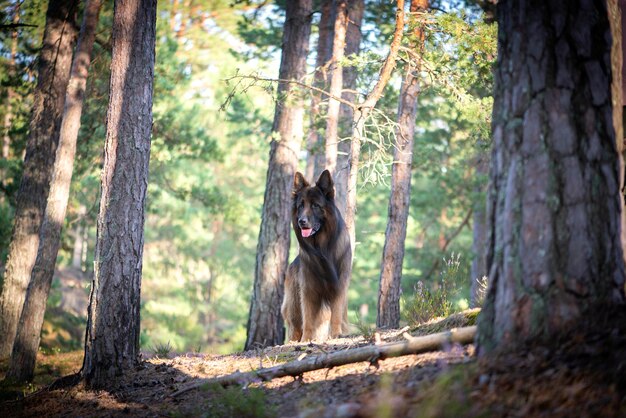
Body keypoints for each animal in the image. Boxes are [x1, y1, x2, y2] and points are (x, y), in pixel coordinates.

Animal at [280, 170, 348, 342]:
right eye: (300, 206)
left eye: (315, 205)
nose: (301, 221)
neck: (322, 248)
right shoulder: (308, 288)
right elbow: (308, 317)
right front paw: (306, 340)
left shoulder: (340, 283)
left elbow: (336, 313)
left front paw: (336, 334)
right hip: (293, 304)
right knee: (295, 325)